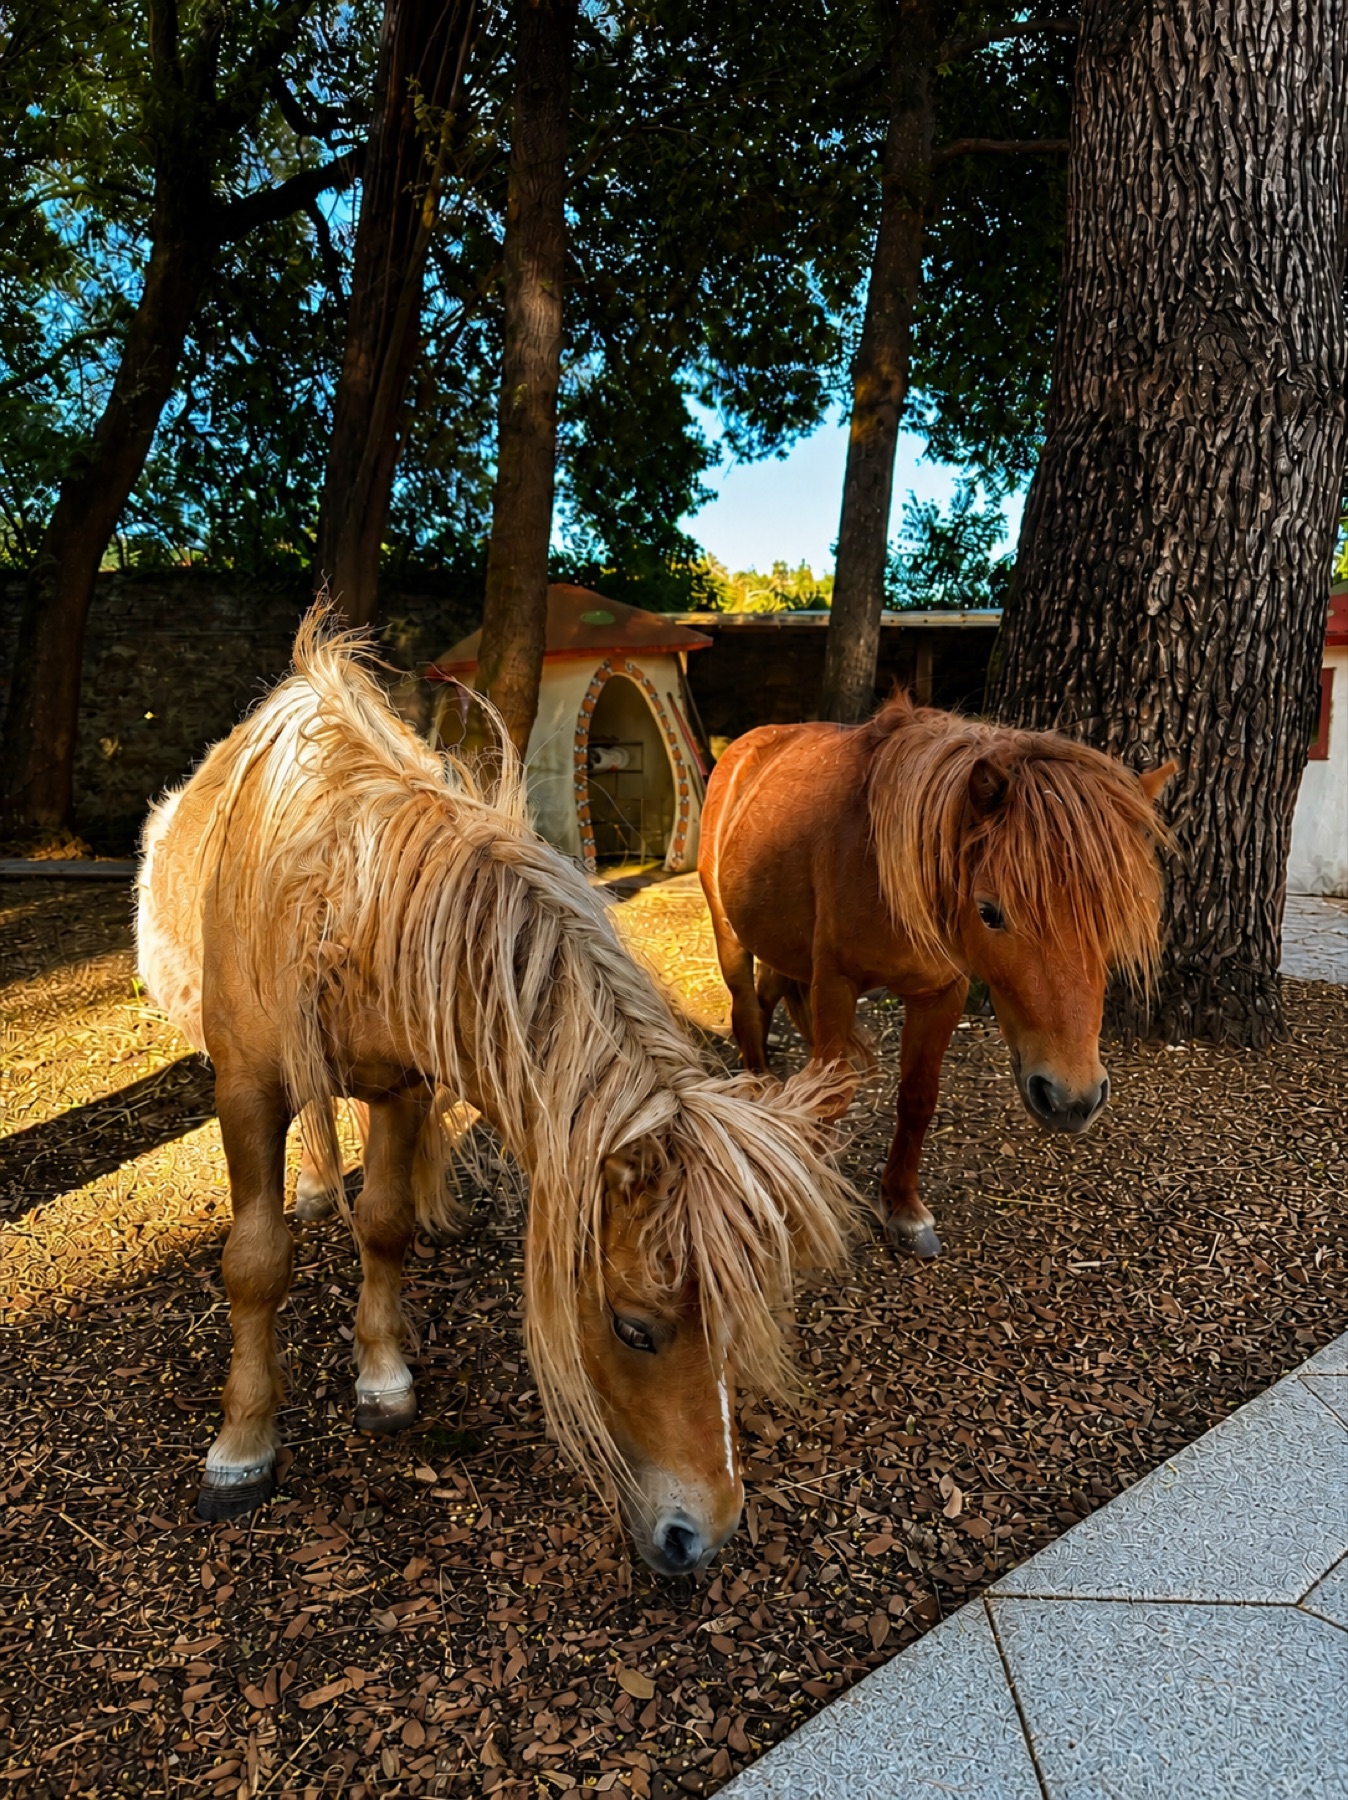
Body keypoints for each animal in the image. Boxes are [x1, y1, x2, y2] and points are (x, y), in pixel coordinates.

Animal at [136, 612, 855, 1576]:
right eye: (633, 1327)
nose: (705, 1535)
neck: (340, 889)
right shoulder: (246, 1090)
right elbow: (255, 1262)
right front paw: (241, 1447)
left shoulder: (401, 1086)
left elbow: (386, 1225)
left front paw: (383, 1377)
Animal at [699, 693, 1174, 1258]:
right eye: (990, 912)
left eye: (1112, 916)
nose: (1071, 1098)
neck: (886, 868)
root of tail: (746, 747)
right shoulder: (834, 984)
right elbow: (832, 1094)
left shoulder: (942, 993)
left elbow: (918, 1097)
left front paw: (903, 1208)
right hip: (729, 933)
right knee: (747, 1013)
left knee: (767, 1000)